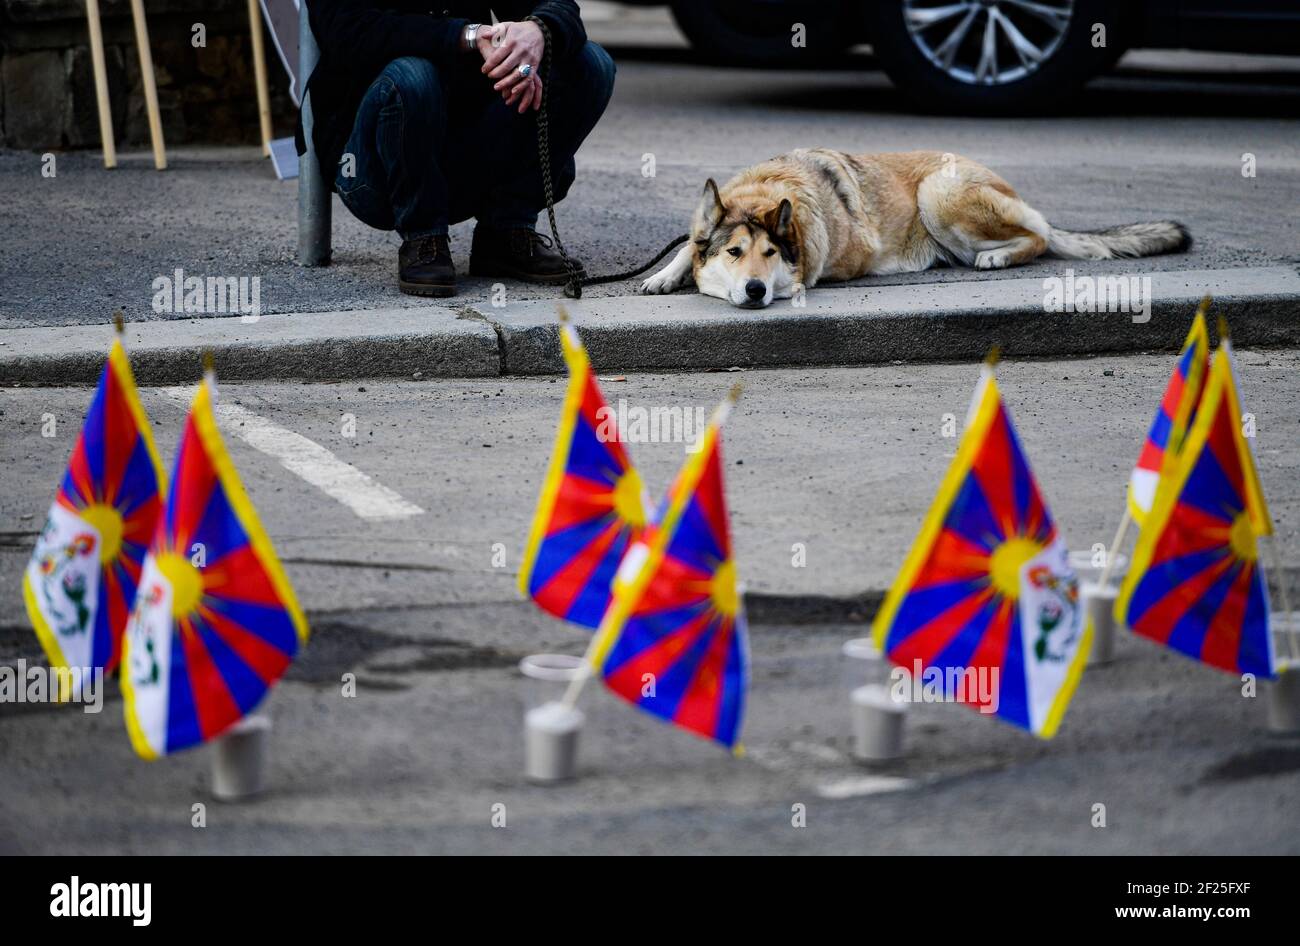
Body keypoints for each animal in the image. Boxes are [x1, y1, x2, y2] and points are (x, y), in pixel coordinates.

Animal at [639, 149, 1190, 307]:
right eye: (734, 252)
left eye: (769, 254)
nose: (755, 290)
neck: (766, 189)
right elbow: (687, 247)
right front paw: (664, 275)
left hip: (938, 194)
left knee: (1038, 237)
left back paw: (997, 255)